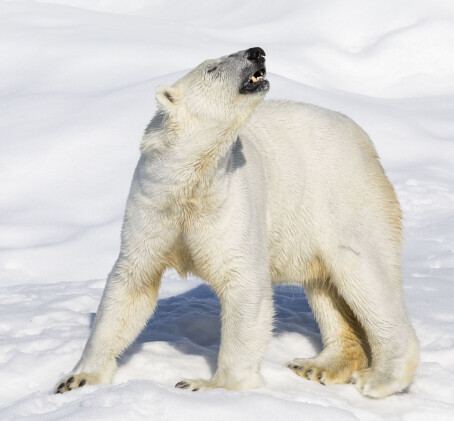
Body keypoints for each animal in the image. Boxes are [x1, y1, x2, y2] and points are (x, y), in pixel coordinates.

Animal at [55, 48, 418, 398]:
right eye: (212, 68)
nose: (257, 52)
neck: (191, 185)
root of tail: (363, 139)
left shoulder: (232, 204)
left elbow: (244, 284)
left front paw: (205, 384)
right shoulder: (152, 206)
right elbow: (131, 284)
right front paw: (76, 380)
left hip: (346, 201)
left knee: (364, 276)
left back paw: (380, 379)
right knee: (326, 288)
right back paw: (318, 366)